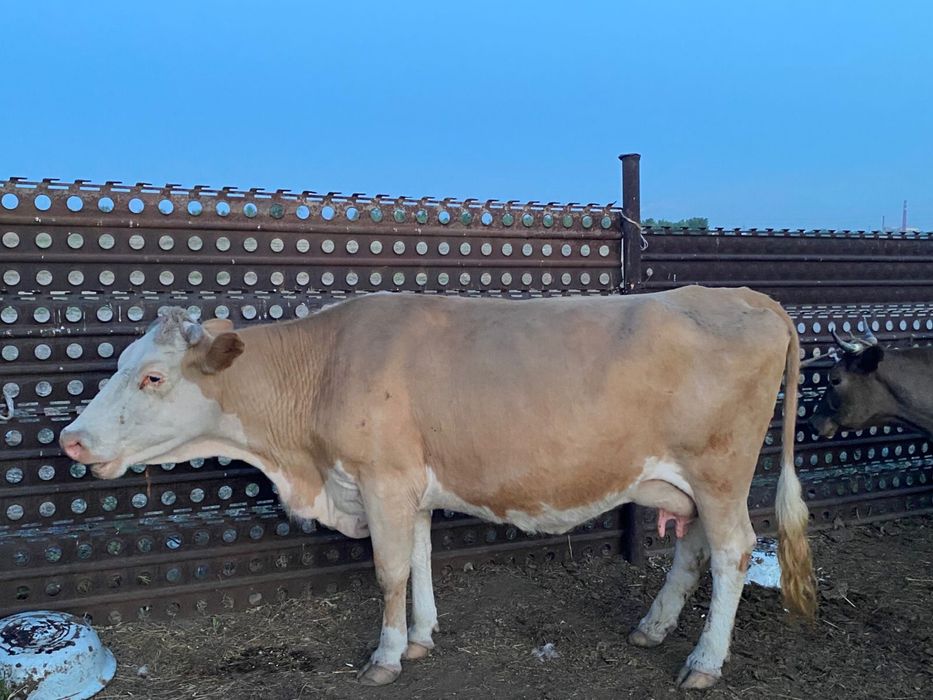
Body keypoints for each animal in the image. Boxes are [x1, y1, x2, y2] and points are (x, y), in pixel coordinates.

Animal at [59, 286, 816, 689]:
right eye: (119, 362)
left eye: (153, 376)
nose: (71, 439)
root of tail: (747, 298)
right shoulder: (409, 485)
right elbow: (420, 558)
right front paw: (422, 637)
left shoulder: (382, 479)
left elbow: (389, 570)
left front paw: (387, 656)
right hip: (689, 481)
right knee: (693, 549)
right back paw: (653, 628)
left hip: (720, 472)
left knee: (731, 552)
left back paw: (704, 662)